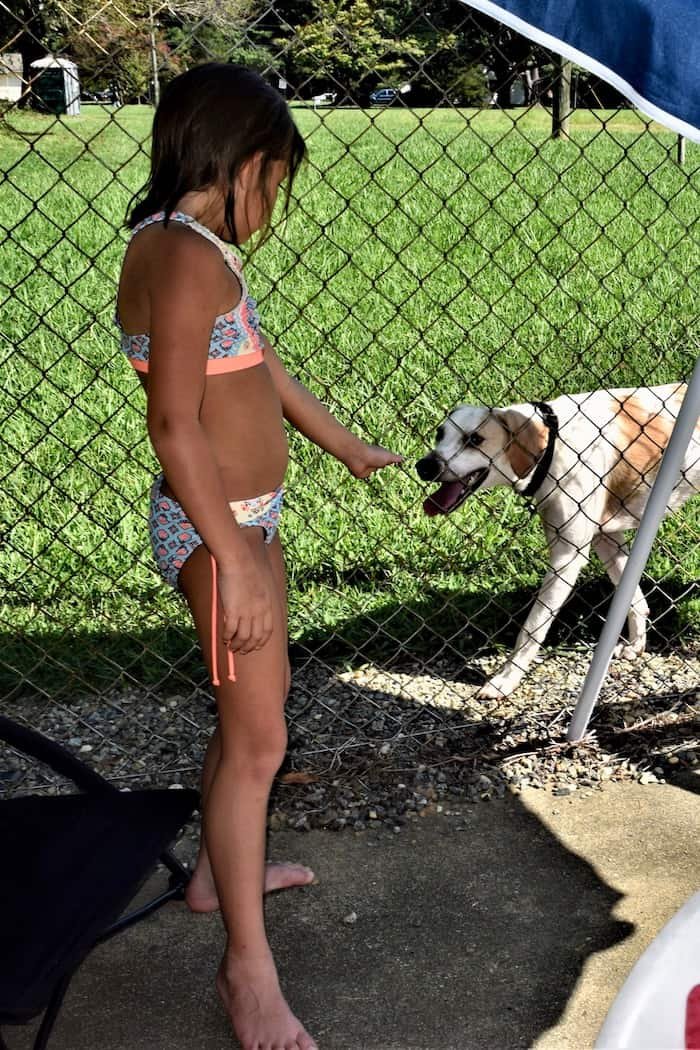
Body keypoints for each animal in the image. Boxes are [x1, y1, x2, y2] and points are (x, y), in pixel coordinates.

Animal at [415, 384, 700, 697]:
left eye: (474, 439)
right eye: (440, 434)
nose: (423, 466)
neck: (553, 444)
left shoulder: (567, 557)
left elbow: (532, 627)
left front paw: (505, 680)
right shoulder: (606, 539)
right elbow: (634, 600)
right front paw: (636, 644)